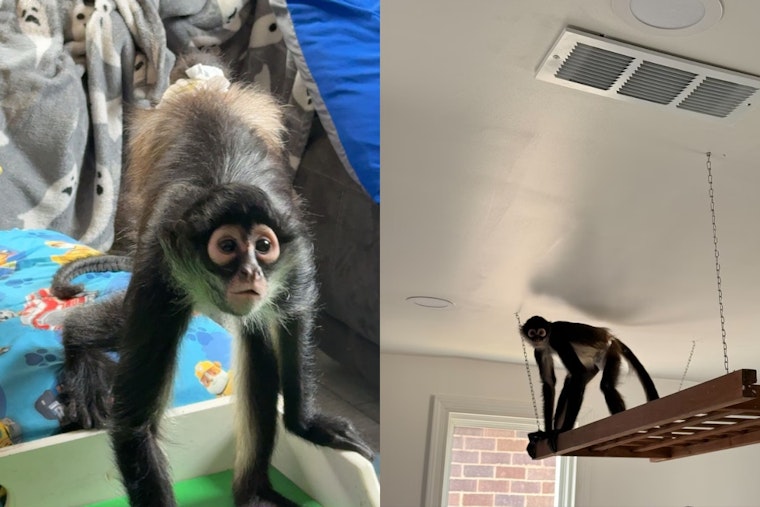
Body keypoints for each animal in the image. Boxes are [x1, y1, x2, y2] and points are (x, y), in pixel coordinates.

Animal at [58, 50, 374, 507]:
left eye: (264, 246)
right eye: (226, 247)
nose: (251, 271)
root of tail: (204, 93)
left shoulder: (294, 256)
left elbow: (293, 318)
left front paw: (305, 423)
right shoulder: (158, 271)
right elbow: (135, 428)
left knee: (258, 341)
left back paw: (253, 492)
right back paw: (76, 340)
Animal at [520, 315, 659, 456]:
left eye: (541, 332)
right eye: (532, 333)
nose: (537, 339)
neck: (547, 341)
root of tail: (609, 336)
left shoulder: (557, 339)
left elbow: (578, 371)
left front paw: (564, 429)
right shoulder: (539, 350)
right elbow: (549, 383)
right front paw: (546, 433)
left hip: (610, 350)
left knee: (605, 385)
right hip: (592, 366)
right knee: (569, 385)